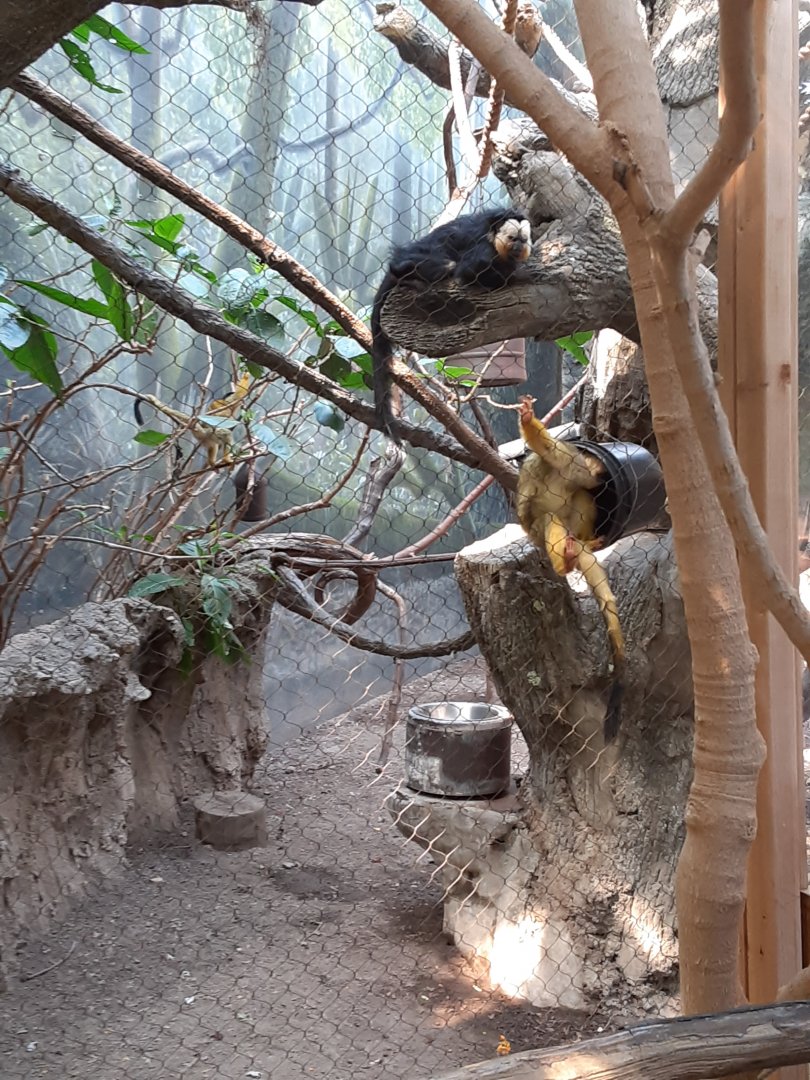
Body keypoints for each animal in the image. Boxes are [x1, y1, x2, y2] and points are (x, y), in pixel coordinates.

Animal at [371, 208, 532, 441]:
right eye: (513, 239)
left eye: (523, 240)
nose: (519, 247)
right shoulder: (482, 246)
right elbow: (471, 270)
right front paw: (518, 274)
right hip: (410, 260)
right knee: (447, 266)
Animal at [515, 395, 625, 742]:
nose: (600, 475)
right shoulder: (561, 459)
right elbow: (541, 449)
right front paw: (527, 417)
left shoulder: (570, 463)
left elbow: (578, 487)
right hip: (544, 533)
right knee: (547, 519)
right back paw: (564, 561)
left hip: (576, 523)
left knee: (578, 501)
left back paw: (582, 545)